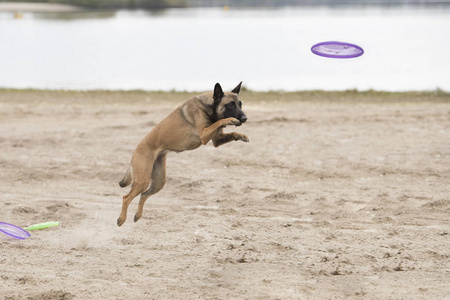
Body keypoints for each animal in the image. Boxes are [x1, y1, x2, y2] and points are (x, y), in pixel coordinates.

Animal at [116, 81, 248, 226]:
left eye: (240, 104)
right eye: (230, 105)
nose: (245, 118)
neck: (208, 106)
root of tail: (136, 150)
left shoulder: (217, 140)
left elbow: (232, 133)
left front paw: (241, 136)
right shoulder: (204, 135)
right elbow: (220, 121)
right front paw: (230, 120)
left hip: (158, 182)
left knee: (143, 195)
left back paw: (138, 215)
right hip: (142, 180)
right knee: (126, 197)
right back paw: (121, 219)